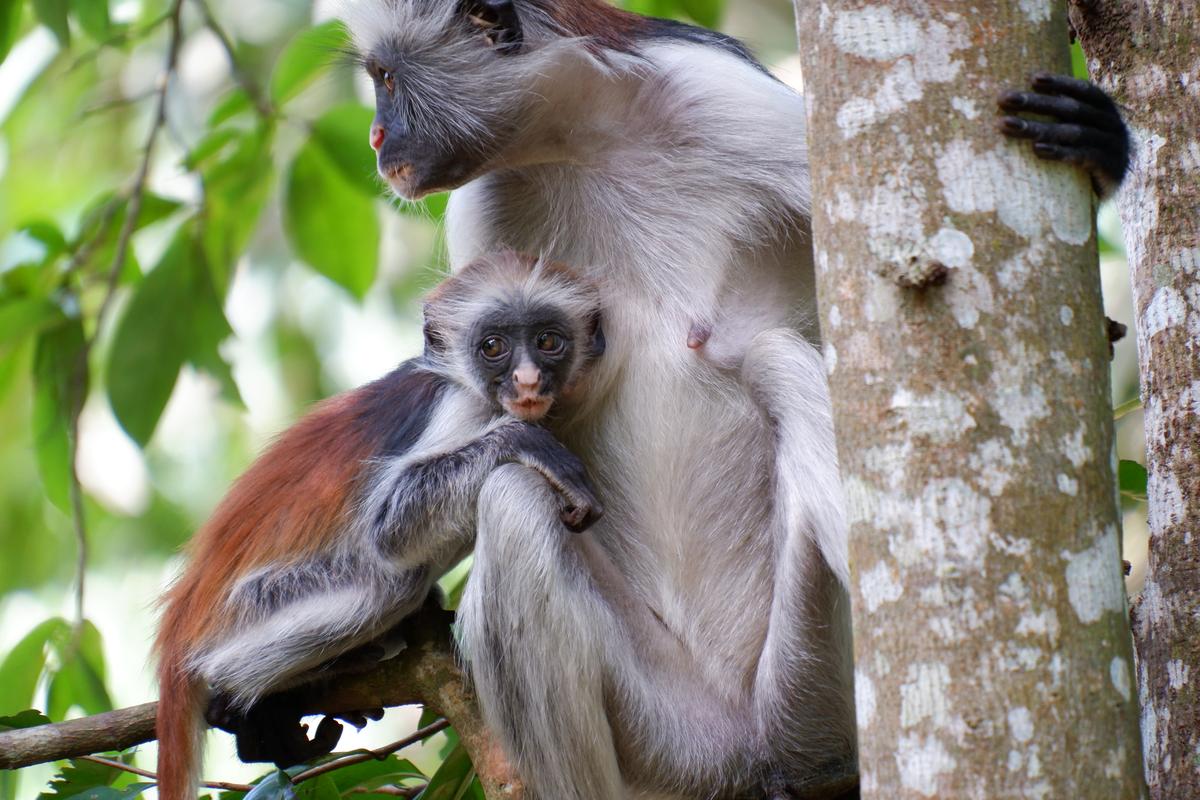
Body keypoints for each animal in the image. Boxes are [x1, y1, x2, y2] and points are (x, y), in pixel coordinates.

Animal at [154, 250, 606, 800]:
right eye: (493, 347)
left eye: (547, 341)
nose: (526, 379)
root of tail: (184, 614)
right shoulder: (459, 405)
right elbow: (387, 529)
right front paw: (523, 441)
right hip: (253, 604)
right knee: (387, 584)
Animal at [337, 3, 1133, 798]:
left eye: (386, 79)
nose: (376, 136)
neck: (583, 138)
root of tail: (752, 753)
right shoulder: (486, 212)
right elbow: (414, 509)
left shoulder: (714, 96)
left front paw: (1103, 147)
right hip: (671, 738)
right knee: (513, 502)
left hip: (813, 683)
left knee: (778, 359)